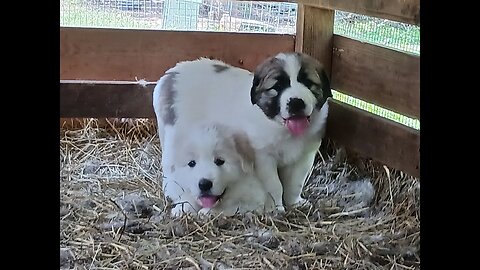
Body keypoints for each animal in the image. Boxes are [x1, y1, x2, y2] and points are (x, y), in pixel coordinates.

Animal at [152, 52, 332, 212]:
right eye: (278, 87)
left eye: (308, 83)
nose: (296, 102)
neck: (282, 128)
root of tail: (170, 75)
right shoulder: (263, 158)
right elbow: (274, 185)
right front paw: (275, 208)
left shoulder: (305, 156)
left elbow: (295, 183)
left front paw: (294, 203)